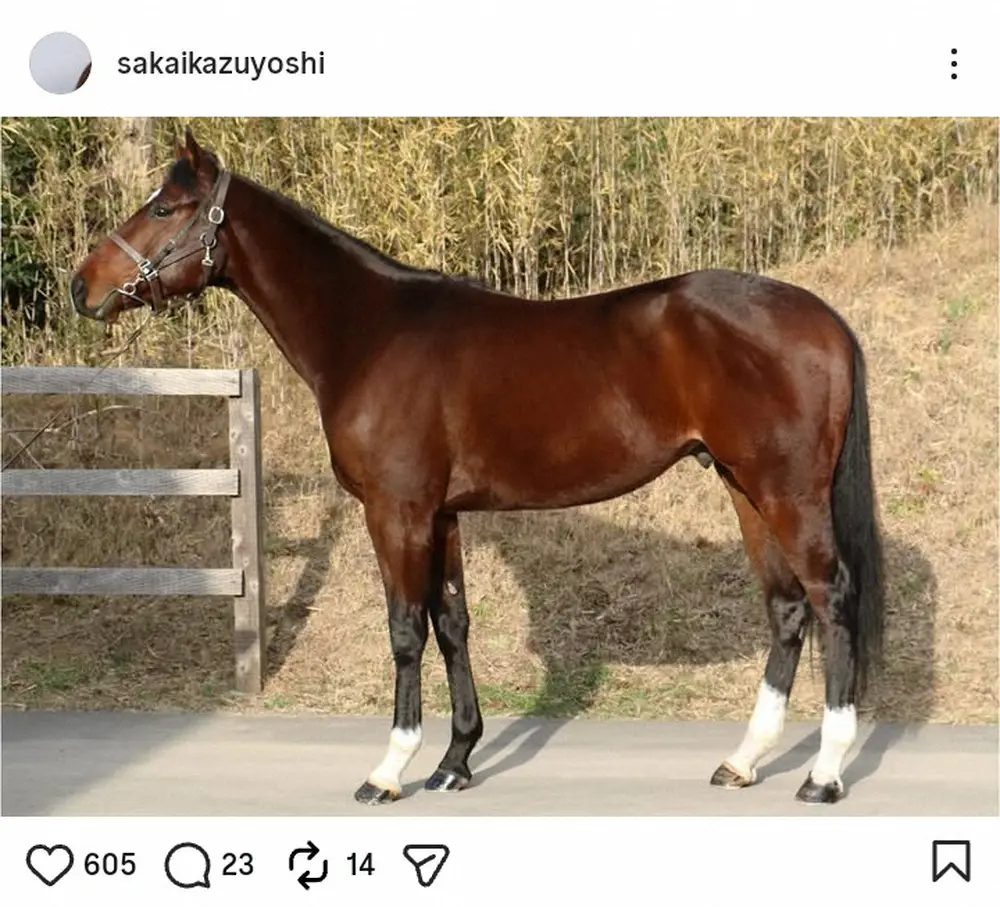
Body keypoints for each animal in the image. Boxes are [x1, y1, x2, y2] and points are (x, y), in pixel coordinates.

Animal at [70, 128, 885, 806]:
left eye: (165, 207)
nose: (83, 286)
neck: (370, 333)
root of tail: (823, 318)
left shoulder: (394, 511)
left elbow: (405, 629)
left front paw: (388, 770)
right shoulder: (442, 513)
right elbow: (452, 622)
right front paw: (454, 761)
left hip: (787, 492)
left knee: (831, 596)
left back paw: (823, 773)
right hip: (744, 486)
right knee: (786, 608)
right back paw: (742, 761)